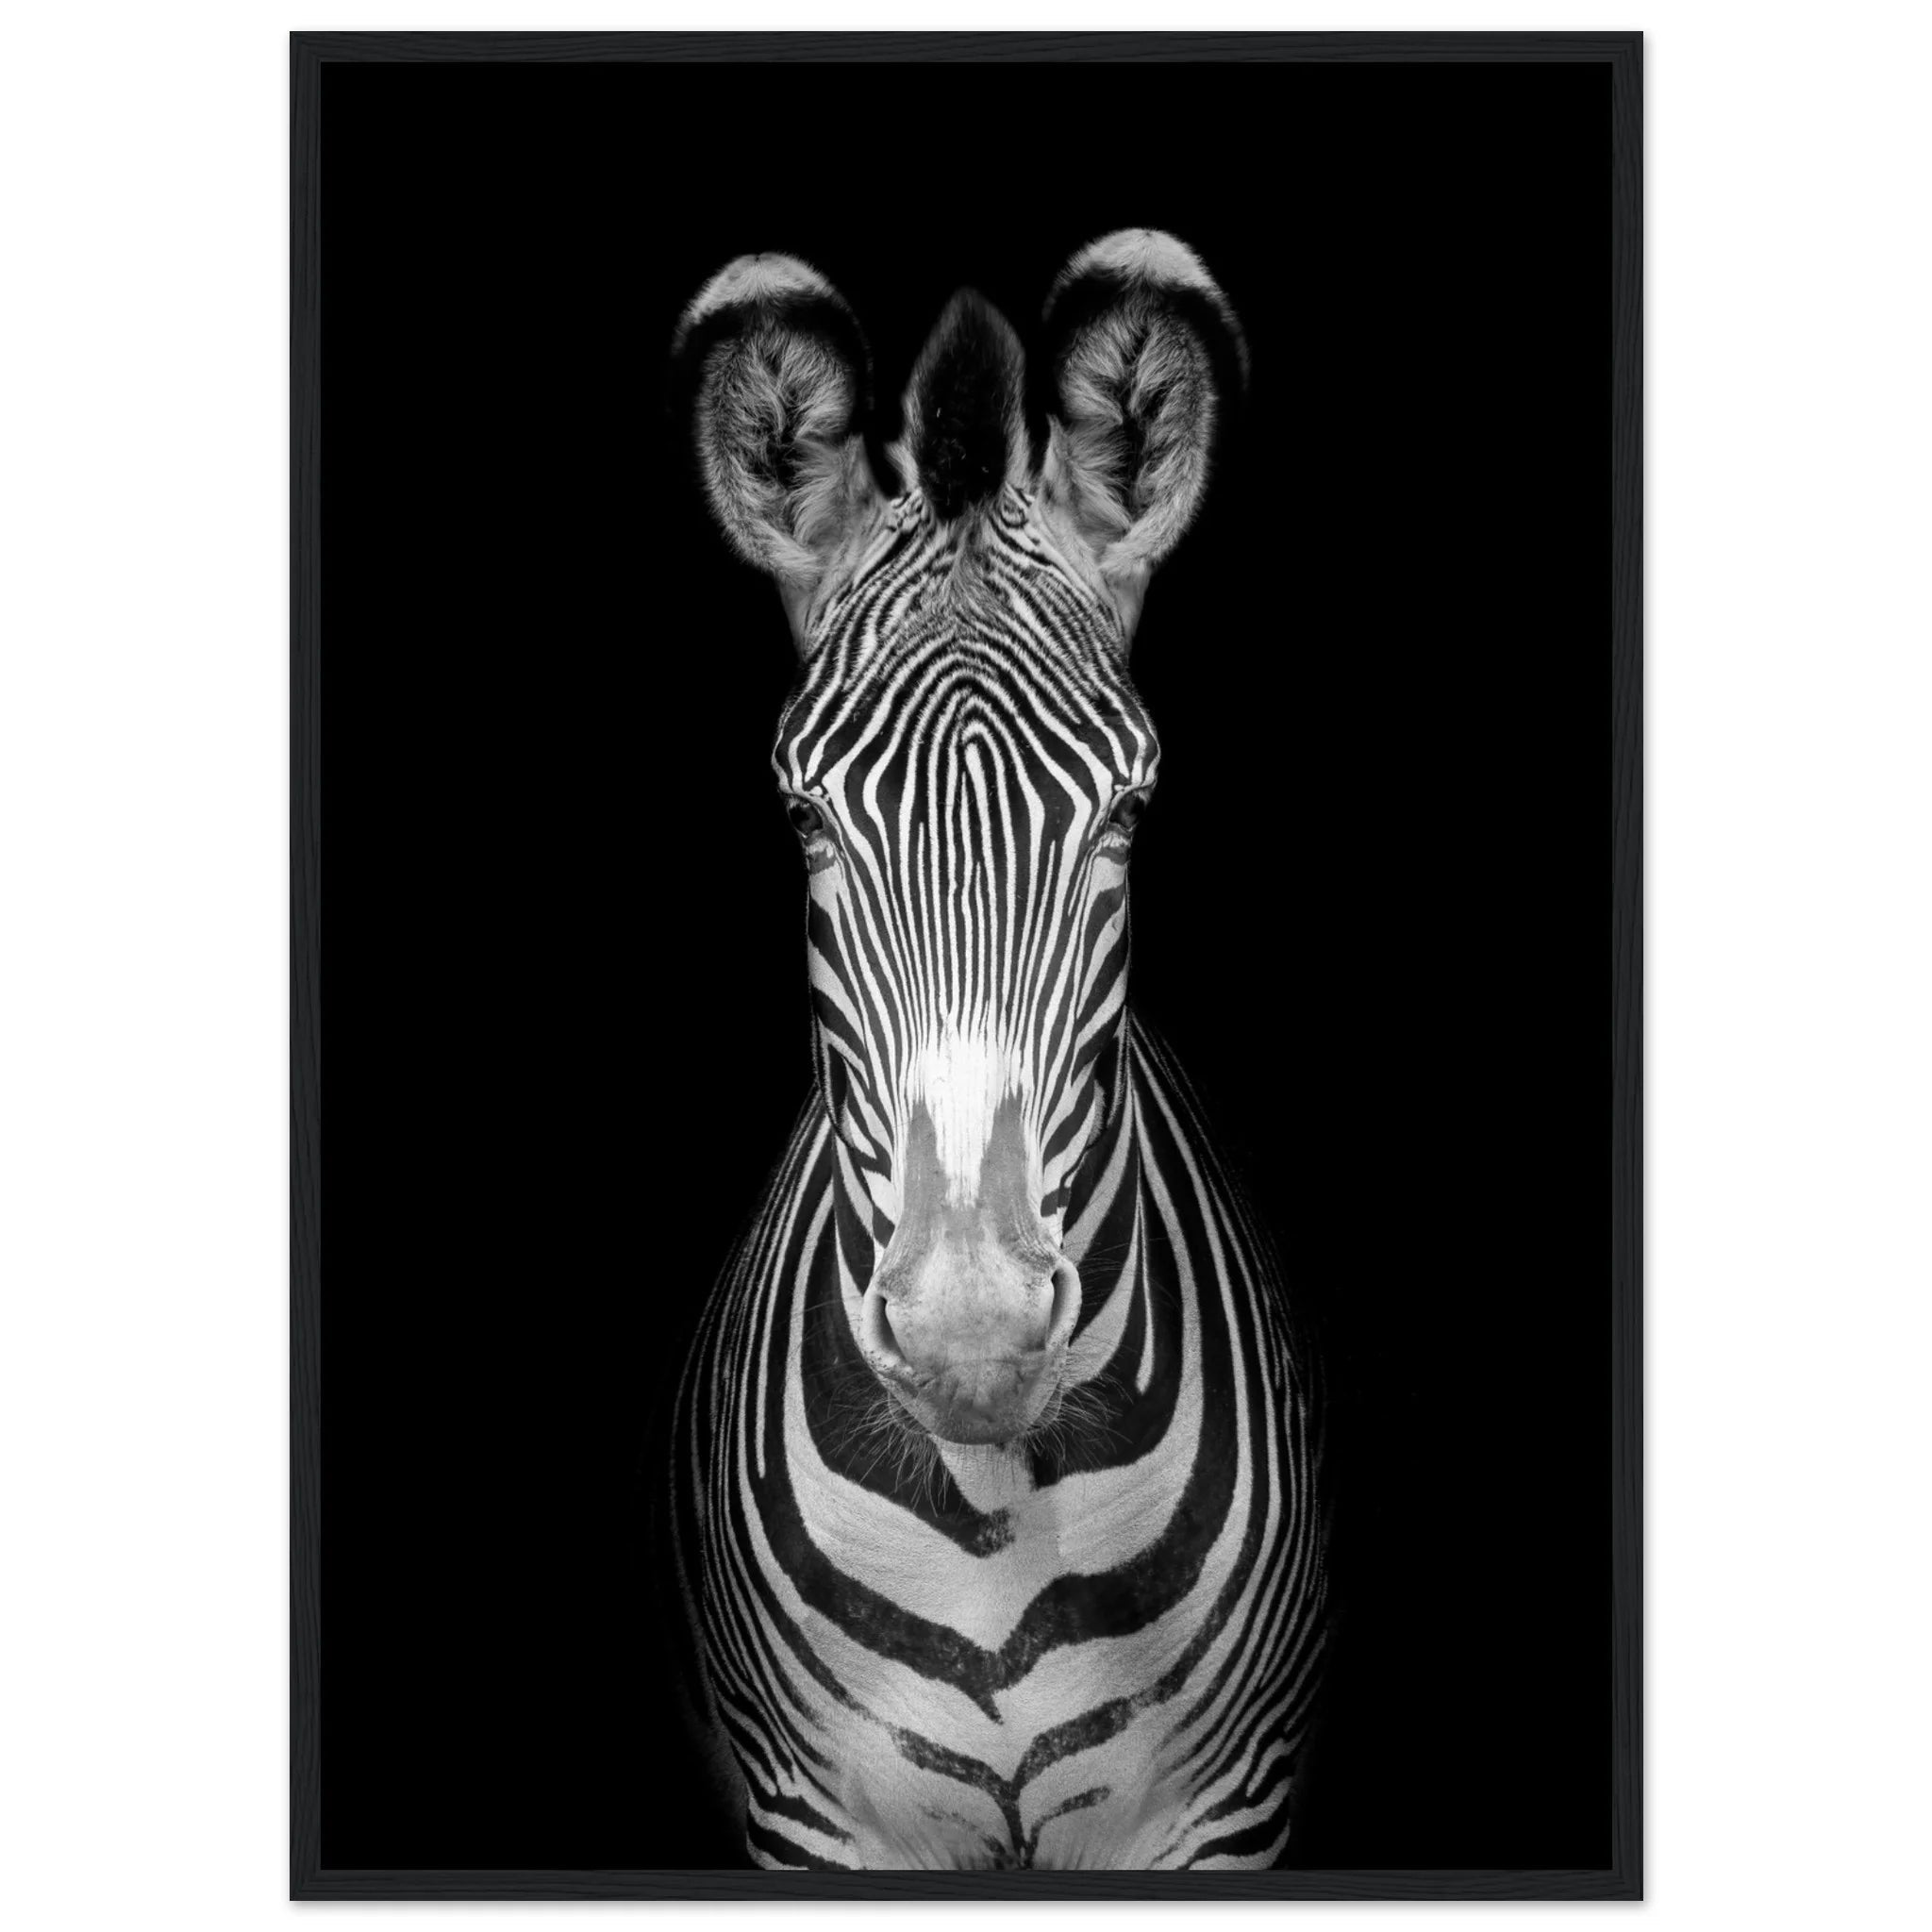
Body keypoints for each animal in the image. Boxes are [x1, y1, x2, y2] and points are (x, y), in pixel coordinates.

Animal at [662, 230, 1326, 1871]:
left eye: (1129, 816)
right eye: (805, 824)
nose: (974, 1343)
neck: (994, 1509)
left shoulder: (1224, 1818)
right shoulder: (815, 1822)